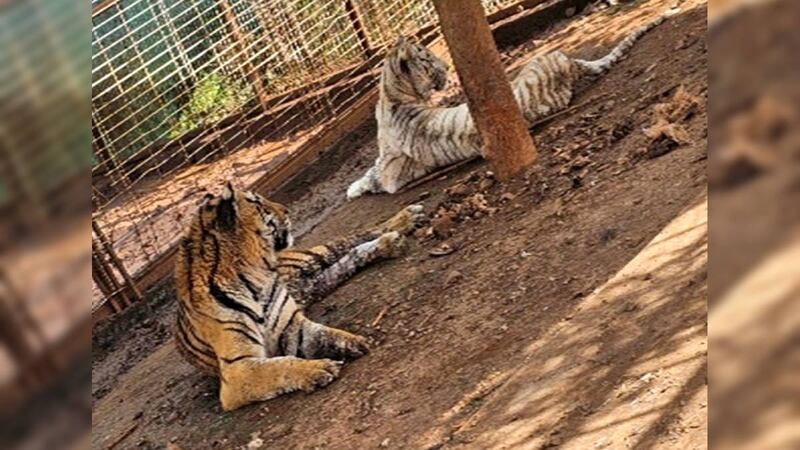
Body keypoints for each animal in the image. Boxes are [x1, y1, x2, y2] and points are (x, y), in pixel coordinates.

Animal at [174, 181, 424, 411]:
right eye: (259, 203)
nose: (286, 210)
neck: (255, 275)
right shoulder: (237, 371)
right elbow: (281, 363)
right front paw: (320, 368)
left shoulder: (291, 326)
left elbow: (324, 332)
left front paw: (355, 340)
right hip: (313, 282)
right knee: (346, 260)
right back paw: (391, 242)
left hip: (310, 258)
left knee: (348, 240)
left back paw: (405, 220)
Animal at [346, 8, 678, 199]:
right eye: (428, 60)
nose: (447, 68)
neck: (392, 92)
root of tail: (569, 65)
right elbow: (370, 171)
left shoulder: (391, 171)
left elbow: (371, 173)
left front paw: (353, 189)